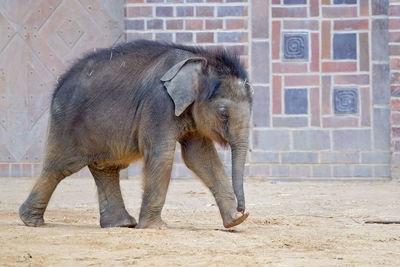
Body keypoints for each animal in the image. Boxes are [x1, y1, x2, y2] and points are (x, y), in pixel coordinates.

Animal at [18, 39, 253, 230]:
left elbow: (200, 157)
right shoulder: (158, 103)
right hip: (67, 121)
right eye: (223, 113)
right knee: (58, 167)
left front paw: (235, 221)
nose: (243, 209)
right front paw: (156, 228)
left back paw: (121, 224)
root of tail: (58, 84)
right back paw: (30, 221)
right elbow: (162, 155)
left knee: (105, 168)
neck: (197, 58)